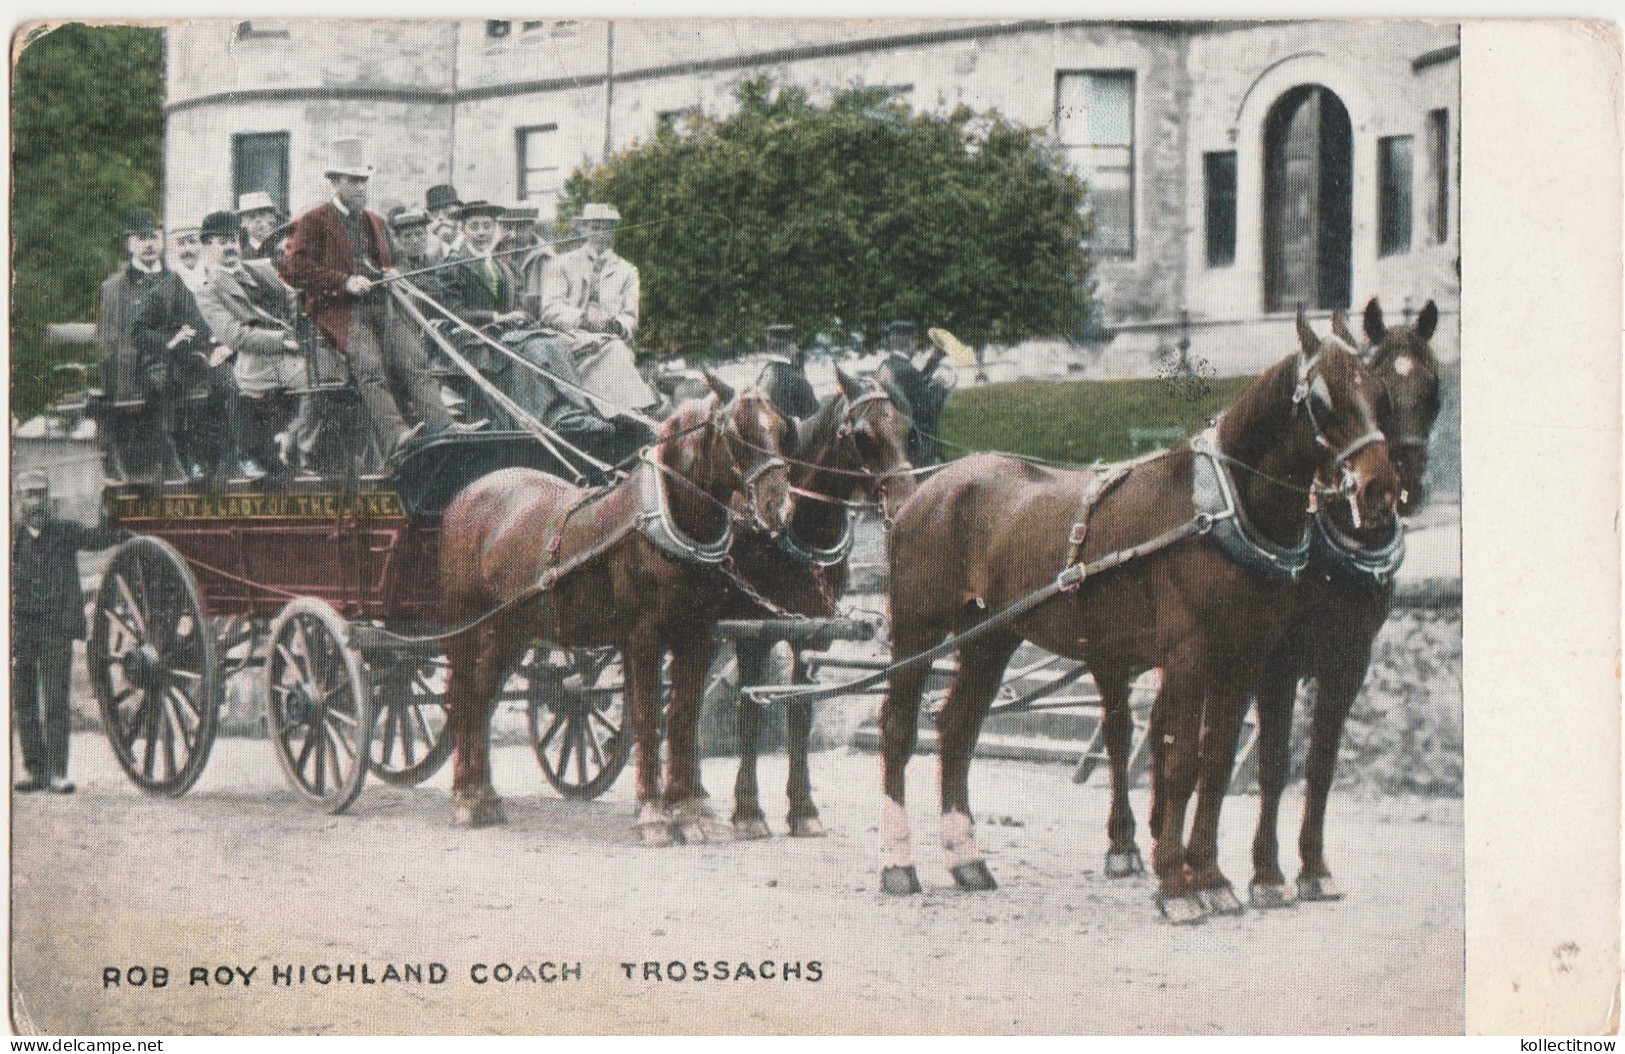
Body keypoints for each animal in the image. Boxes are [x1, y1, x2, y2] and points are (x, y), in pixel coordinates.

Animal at [442, 376, 796, 838]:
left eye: (781, 428)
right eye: (738, 433)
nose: (778, 505)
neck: (667, 521)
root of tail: (470, 493)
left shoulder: (698, 636)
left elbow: (683, 716)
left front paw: (686, 810)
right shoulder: (643, 639)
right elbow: (646, 716)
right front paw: (654, 815)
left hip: (511, 630)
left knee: (482, 695)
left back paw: (483, 796)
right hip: (467, 623)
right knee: (464, 695)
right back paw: (465, 799)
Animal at [721, 370, 916, 838]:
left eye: (908, 430)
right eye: (862, 435)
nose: (906, 507)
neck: (792, 529)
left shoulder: (812, 634)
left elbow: (800, 713)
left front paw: (803, 809)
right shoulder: (750, 635)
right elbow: (749, 712)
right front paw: (748, 811)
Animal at [877, 308, 1397, 915]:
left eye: (1380, 394)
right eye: (1320, 401)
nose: (1378, 488)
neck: (1218, 511)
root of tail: (924, 490)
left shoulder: (1243, 660)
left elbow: (1217, 760)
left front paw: (1211, 878)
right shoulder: (1190, 657)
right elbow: (1179, 763)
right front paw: (1176, 885)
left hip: (990, 636)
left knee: (957, 727)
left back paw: (968, 860)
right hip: (917, 630)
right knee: (899, 729)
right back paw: (898, 863)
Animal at [1248, 295, 1443, 902]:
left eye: (1435, 386)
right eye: (1383, 388)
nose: (1397, 488)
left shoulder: (1348, 661)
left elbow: (1321, 763)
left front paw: (1313, 866)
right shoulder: (1278, 663)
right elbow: (1273, 762)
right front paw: (1266, 872)